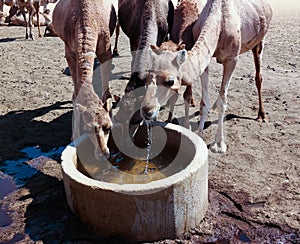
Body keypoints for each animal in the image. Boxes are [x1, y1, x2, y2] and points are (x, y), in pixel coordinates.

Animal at [52, 0, 116, 159]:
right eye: (87, 129)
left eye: (108, 127)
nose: (103, 153)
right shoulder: (70, 52)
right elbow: (76, 95)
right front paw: (73, 136)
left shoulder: (106, 50)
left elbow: (106, 93)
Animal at [140, 0, 272, 153]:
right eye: (147, 78)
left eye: (170, 81)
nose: (146, 110)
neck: (219, 22)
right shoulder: (205, 61)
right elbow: (204, 103)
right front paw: (200, 138)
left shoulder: (232, 59)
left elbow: (223, 101)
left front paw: (219, 144)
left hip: (260, 41)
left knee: (258, 78)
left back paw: (262, 115)